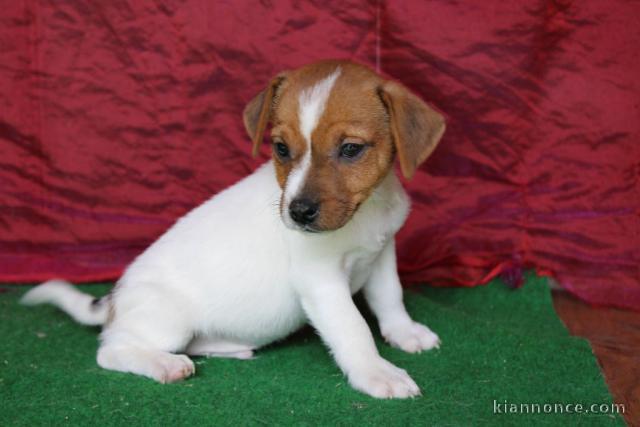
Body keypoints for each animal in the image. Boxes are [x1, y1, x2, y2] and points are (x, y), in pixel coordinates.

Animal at [23, 58, 444, 400]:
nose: (298, 212)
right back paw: (164, 364)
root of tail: (114, 302)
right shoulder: (321, 280)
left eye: (351, 149)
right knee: (111, 350)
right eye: (280, 148)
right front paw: (377, 373)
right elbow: (354, 328)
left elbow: (390, 297)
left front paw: (405, 333)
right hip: (166, 320)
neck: (364, 212)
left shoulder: (382, 254)